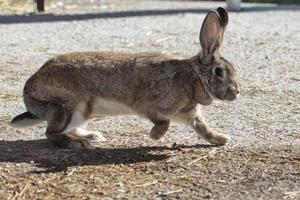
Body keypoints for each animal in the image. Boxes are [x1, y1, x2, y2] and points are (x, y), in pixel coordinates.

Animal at [10, 7, 239, 148]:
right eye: (219, 71)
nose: (236, 93)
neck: (194, 76)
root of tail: (29, 92)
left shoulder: (190, 114)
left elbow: (203, 129)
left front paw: (222, 139)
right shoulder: (149, 106)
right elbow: (163, 122)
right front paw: (154, 136)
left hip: (80, 112)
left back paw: (93, 135)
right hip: (68, 107)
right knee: (51, 133)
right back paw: (78, 143)